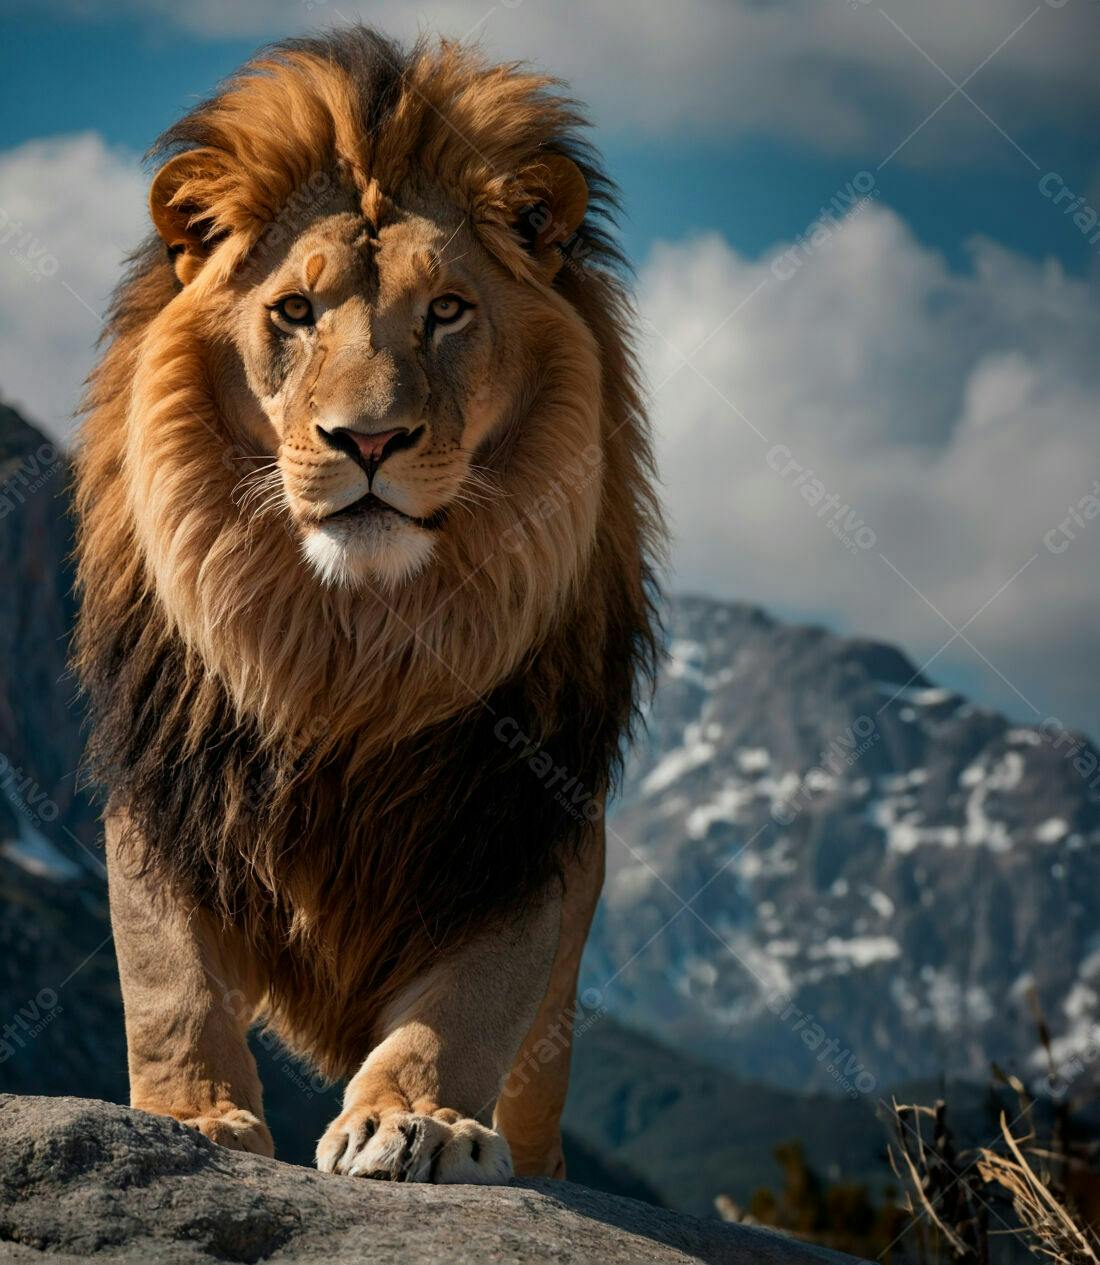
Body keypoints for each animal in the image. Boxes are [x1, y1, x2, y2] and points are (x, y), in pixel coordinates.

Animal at [73, 27, 660, 1184]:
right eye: (295, 313)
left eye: (447, 311)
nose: (370, 439)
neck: (346, 642)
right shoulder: (164, 781)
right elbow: (167, 976)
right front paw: (189, 1117)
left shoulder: (518, 822)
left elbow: (466, 1006)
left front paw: (415, 1119)